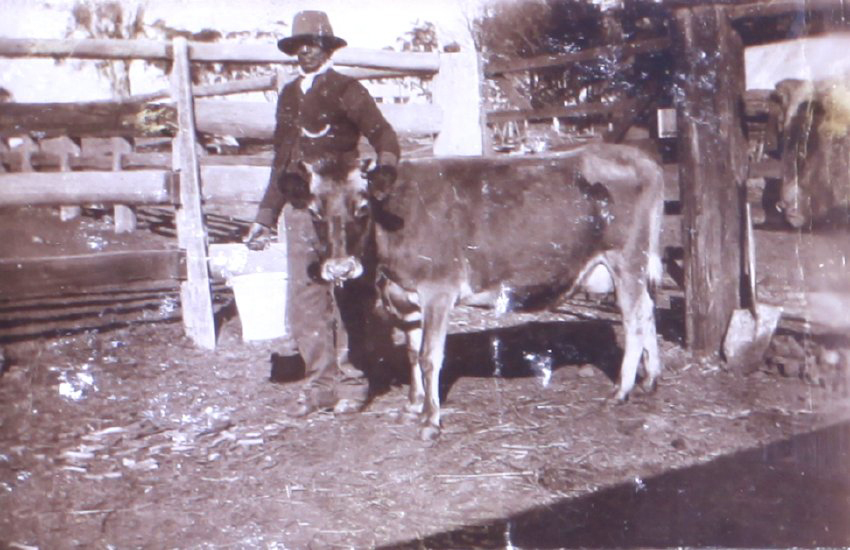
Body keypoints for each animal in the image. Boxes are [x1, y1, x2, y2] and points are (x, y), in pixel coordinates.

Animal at [309, 143, 665, 440]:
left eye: (361, 207)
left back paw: (620, 391)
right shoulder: (406, 297)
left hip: (627, 260)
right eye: (314, 212)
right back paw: (650, 379)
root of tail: (640, 157)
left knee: (635, 319)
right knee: (647, 311)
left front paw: (430, 420)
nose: (339, 268)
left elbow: (428, 357)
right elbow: (412, 353)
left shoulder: (438, 291)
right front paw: (413, 405)